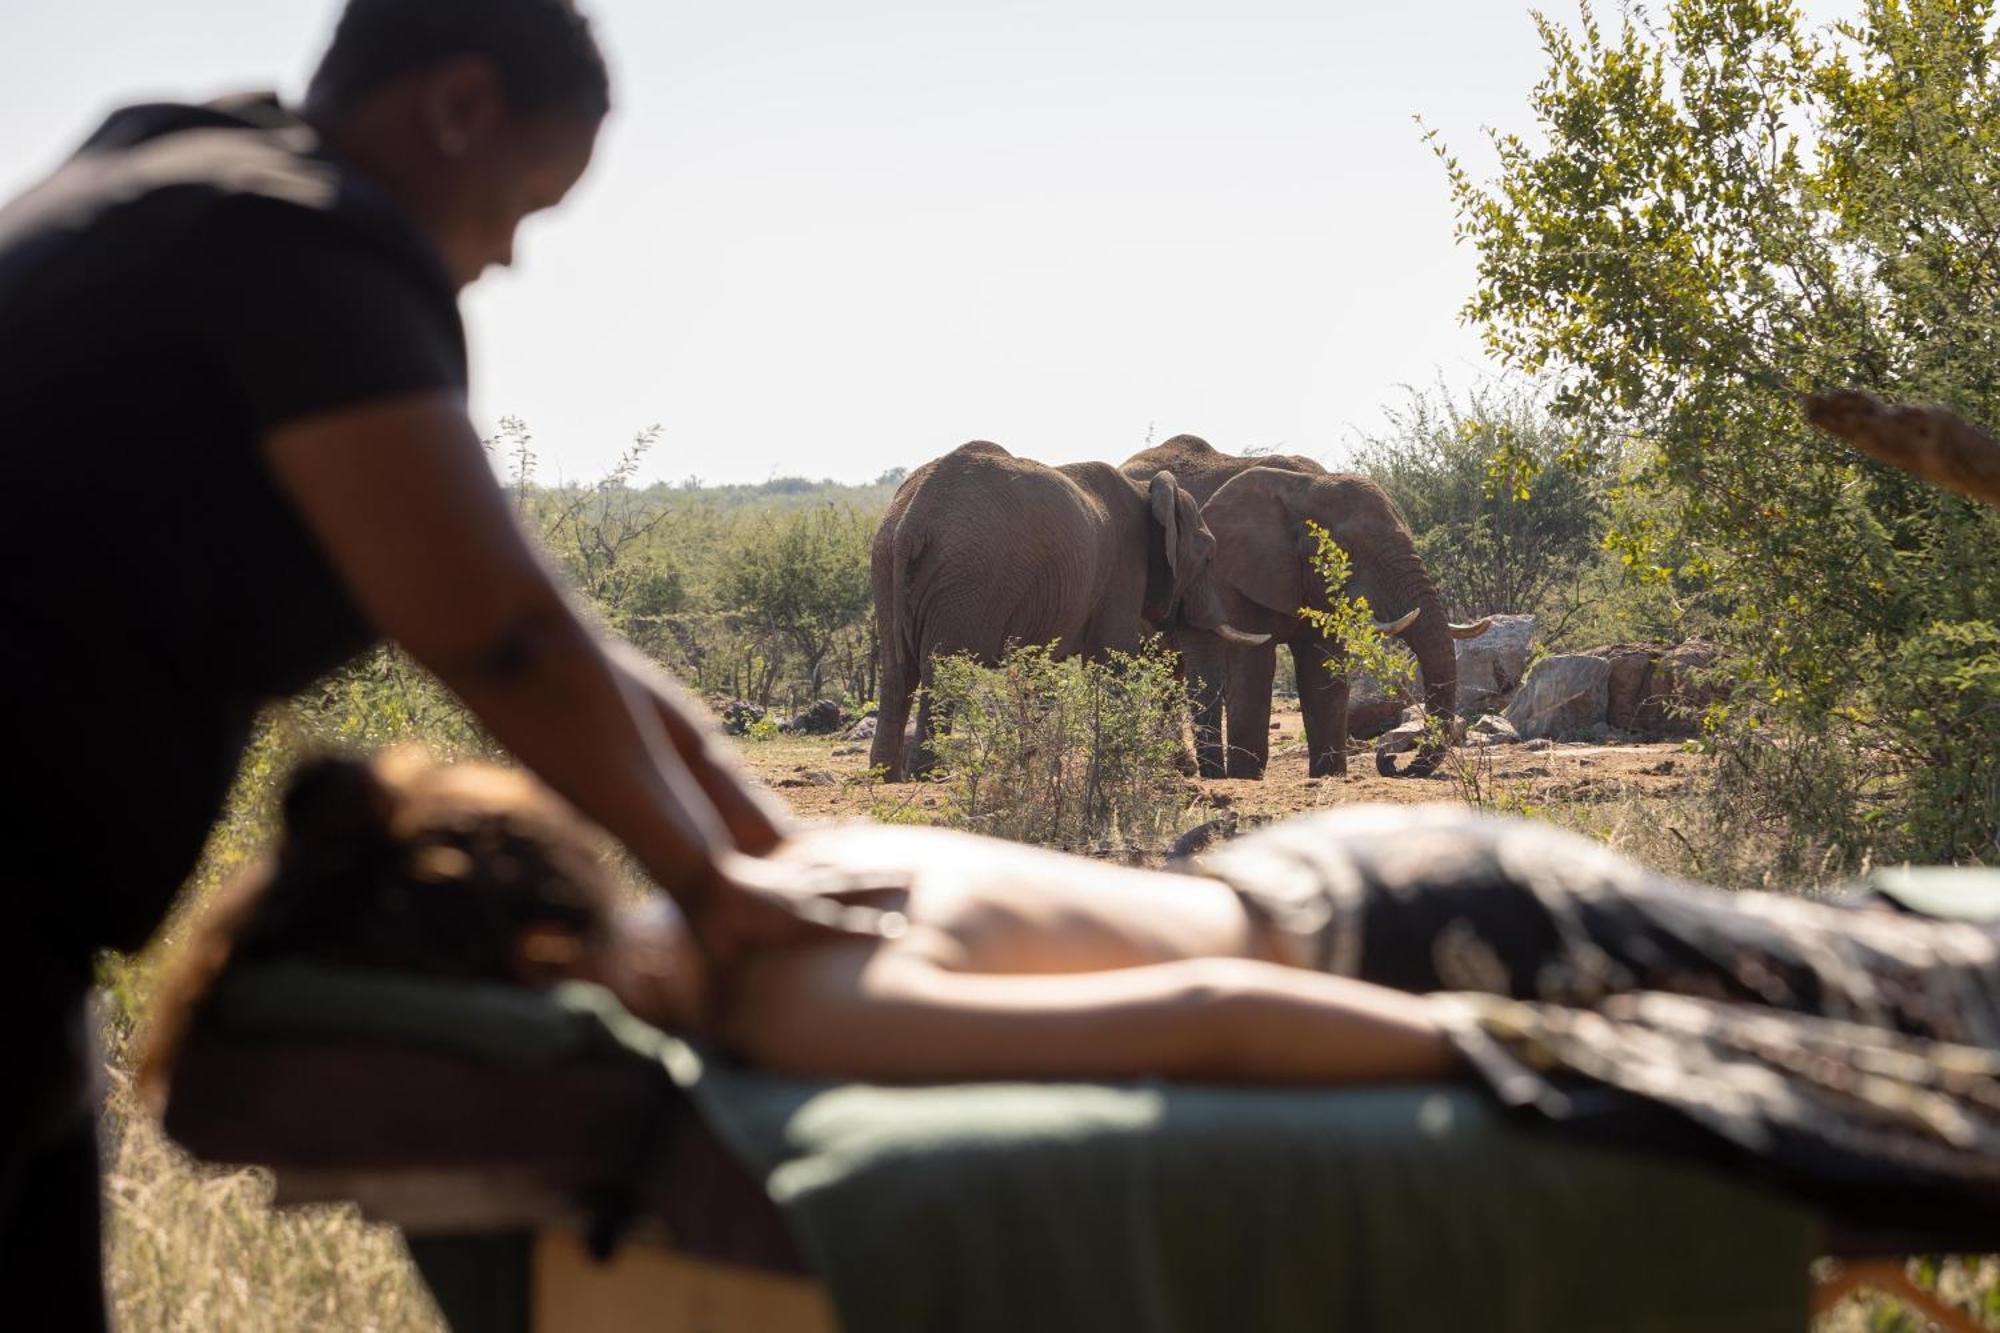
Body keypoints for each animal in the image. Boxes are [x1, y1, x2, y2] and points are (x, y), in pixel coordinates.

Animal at [872, 436, 1264, 780]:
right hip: (963, 580)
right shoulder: (1122, 569)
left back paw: (884, 776)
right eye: (1209, 556)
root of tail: (911, 522)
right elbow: (1112, 658)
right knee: (941, 672)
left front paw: (1035, 766)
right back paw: (929, 776)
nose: (1215, 777)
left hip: (886, 564)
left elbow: (1046, 669)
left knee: (896, 674)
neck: (1147, 490)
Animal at [1128, 430, 1488, 772]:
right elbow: (1254, 663)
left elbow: (1321, 666)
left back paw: (1186, 768)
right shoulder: (1236, 574)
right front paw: (1246, 774)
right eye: (1348, 552)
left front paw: (1329, 773)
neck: (1309, 486)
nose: (1388, 759)